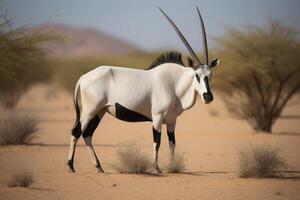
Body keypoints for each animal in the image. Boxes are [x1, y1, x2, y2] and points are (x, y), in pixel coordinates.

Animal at [68, 7, 220, 173]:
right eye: (196, 75)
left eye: (210, 75)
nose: (208, 97)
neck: (174, 82)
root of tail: (83, 77)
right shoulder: (157, 117)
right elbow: (157, 142)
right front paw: (157, 168)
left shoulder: (172, 120)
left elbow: (172, 143)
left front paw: (173, 166)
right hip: (89, 111)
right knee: (77, 132)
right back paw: (71, 166)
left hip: (100, 111)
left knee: (87, 134)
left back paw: (98, 167)